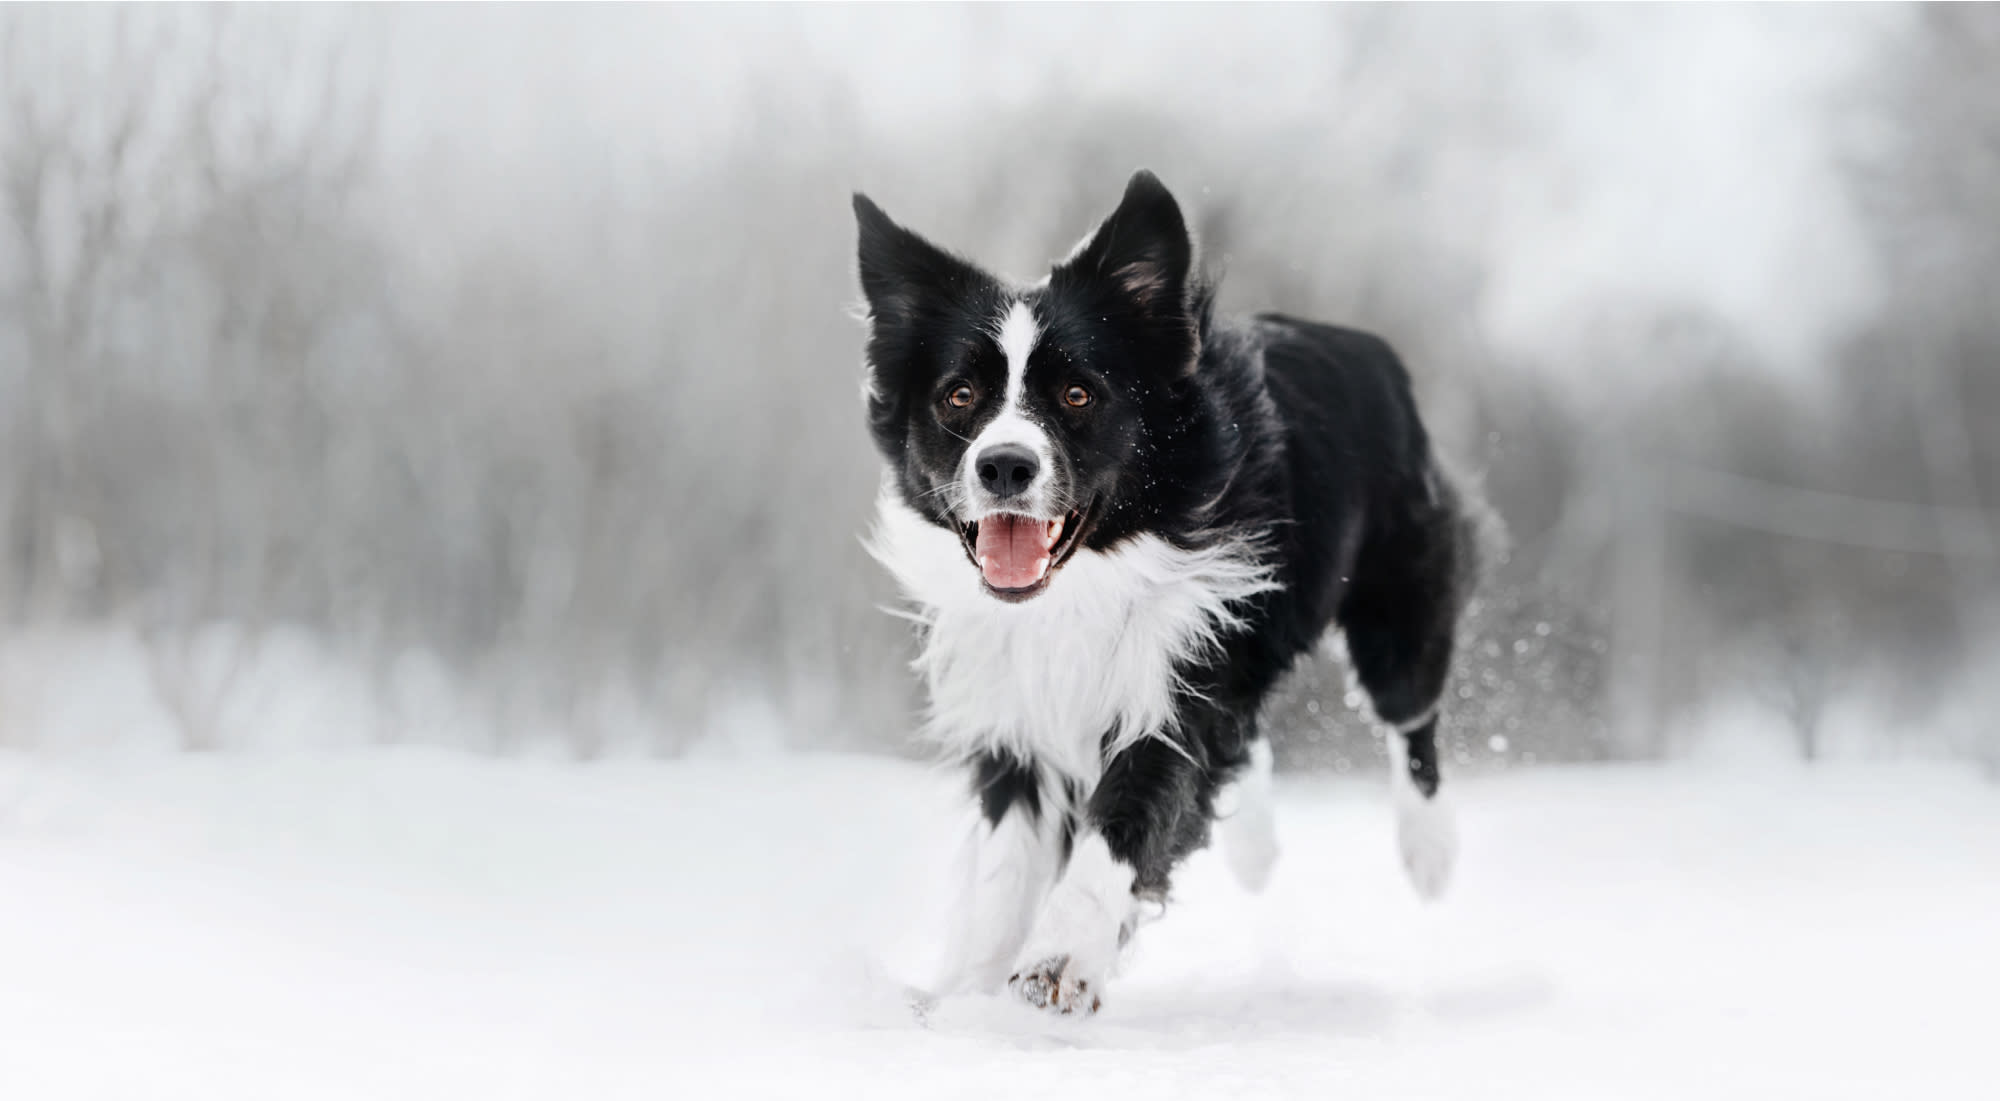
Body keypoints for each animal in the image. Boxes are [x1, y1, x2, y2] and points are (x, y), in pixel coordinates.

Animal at [848, 170, 1488, 1016]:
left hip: (1397, 598)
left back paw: (1431, 851)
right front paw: (966, 991)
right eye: (958, 396)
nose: (1005, 465)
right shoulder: (1015, 707)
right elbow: (1006, 865)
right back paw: (1257, 843)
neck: (1079, 585)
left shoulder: (1178, 677)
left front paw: (1059, 958)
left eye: (1078, 394)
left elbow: (1128, 812)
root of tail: (1369, 345)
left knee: (1409, 713)